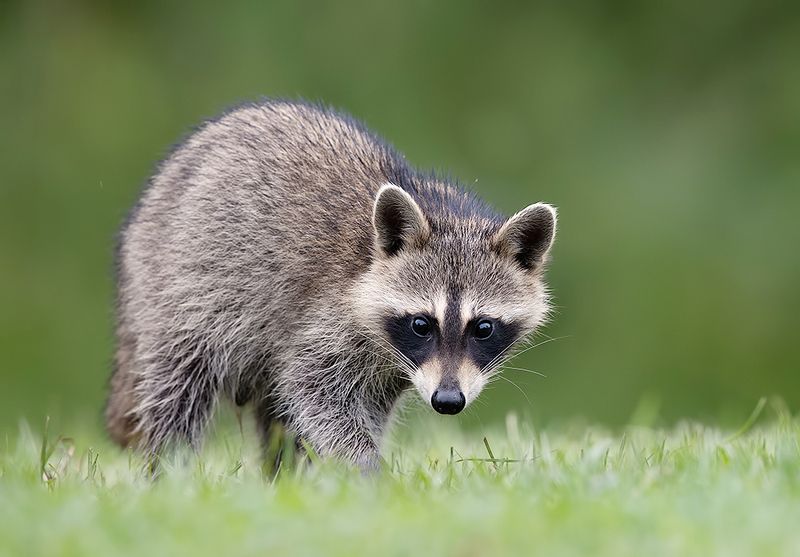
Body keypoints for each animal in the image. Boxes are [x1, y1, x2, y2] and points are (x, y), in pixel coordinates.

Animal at [106, 99, 557, 470]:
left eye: (483, 327)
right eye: (421, 324)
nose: (447, 402)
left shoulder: (394, 373)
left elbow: (357, 409)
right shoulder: (327, 319)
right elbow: (314, 391)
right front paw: (365, 467)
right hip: (180, 286)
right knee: (179, 385)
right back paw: (170, 468)